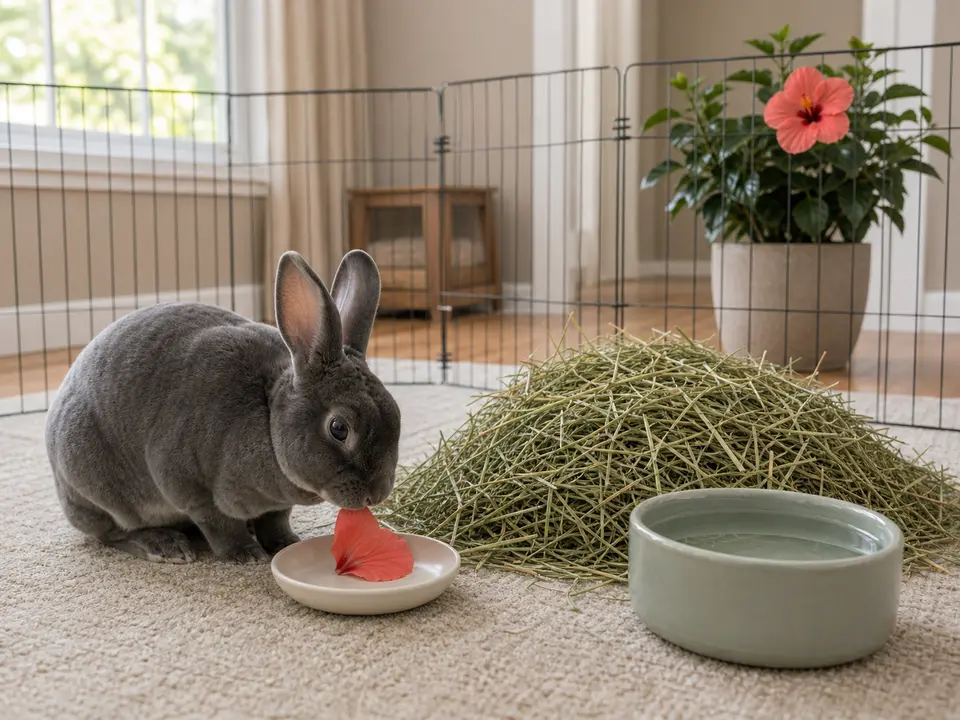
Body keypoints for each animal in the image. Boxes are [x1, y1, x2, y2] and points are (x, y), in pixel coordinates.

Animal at [45, 249, 402, 564]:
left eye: (397, 414)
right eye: (339, 428)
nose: (377, 494)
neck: (269, 419)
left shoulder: (275, 505)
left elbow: (275, 519)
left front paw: (284, 543)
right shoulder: (189, 484)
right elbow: (218, 523)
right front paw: (244, 554)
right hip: (99, 488)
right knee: (112, 533)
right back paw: (165, 546)